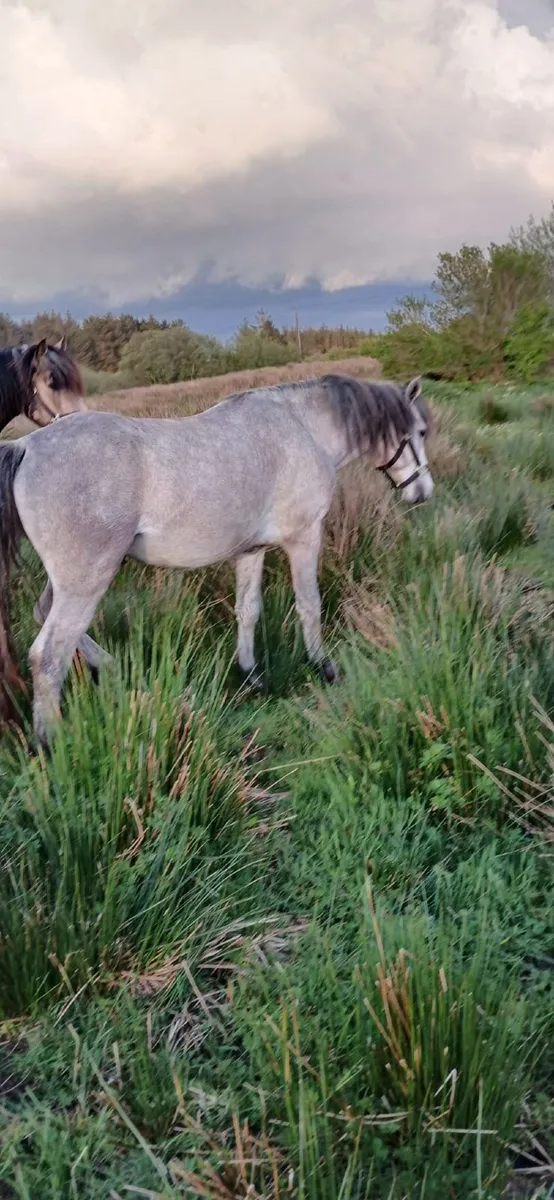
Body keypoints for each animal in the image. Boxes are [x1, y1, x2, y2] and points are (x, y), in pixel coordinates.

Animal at [0, 372, 433, 747]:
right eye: (421, 432)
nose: (424, 492)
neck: (303, 428)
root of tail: (27, 447)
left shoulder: (251, 551)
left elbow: (248, 610)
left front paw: (251, 675)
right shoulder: (304, 538)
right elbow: (310, 605)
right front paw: (324, 667)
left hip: (70, 580)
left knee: (44, 615)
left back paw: (108, 667)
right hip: (87, 579)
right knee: (48, 655)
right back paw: (50, 743)